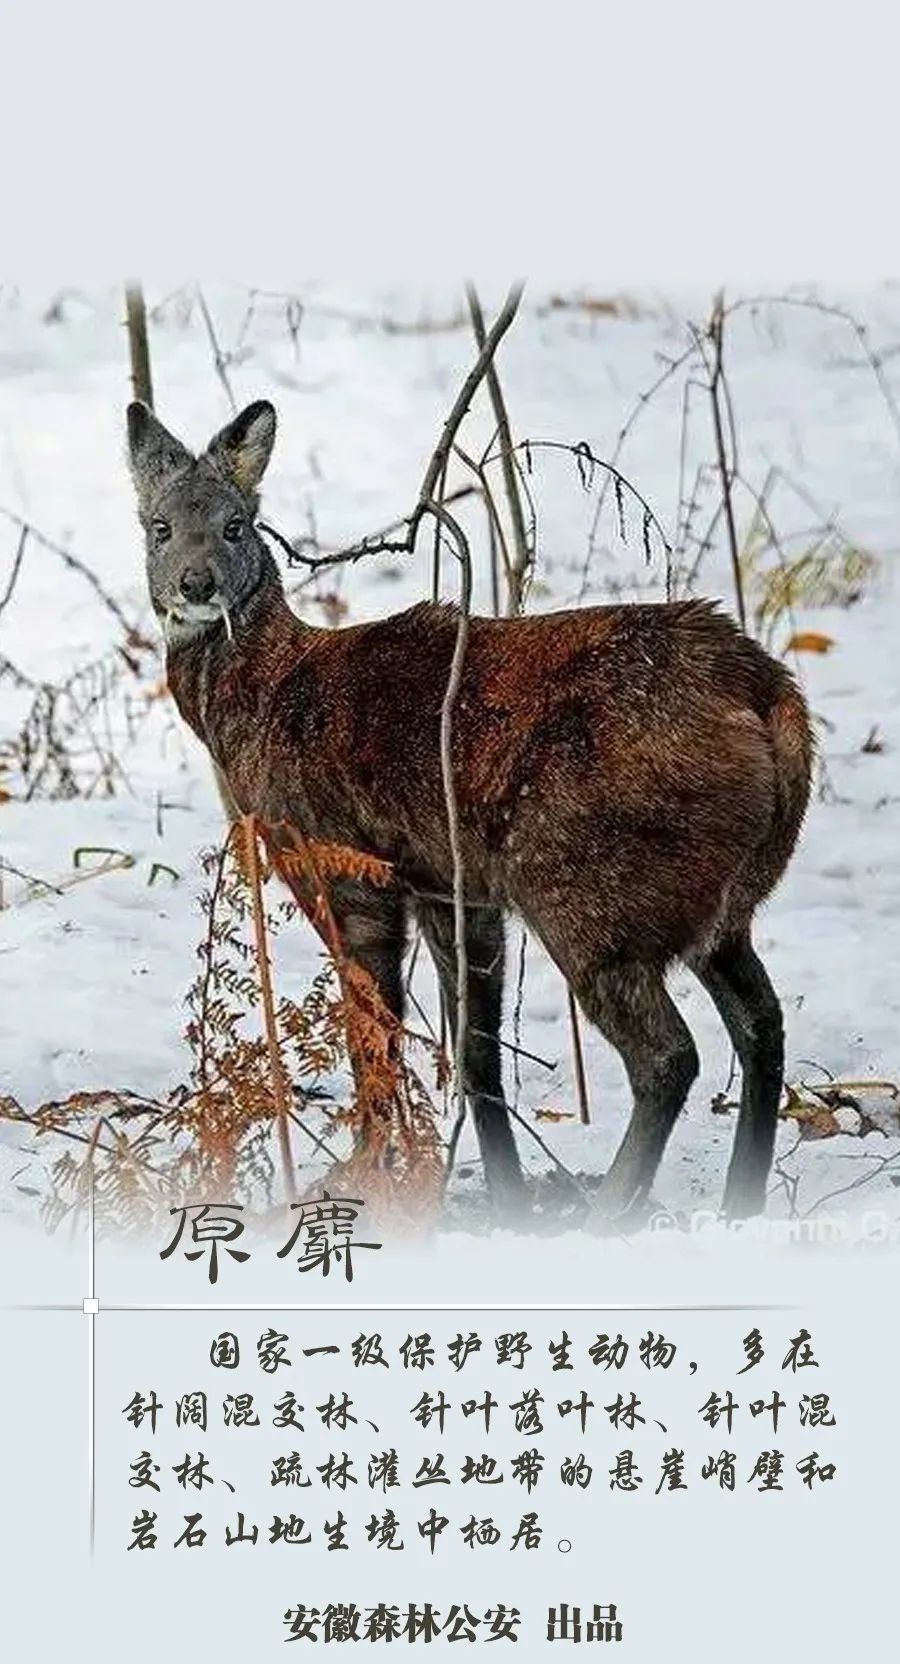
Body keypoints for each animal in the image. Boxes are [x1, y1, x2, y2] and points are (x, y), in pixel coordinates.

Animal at [128, 397, 815, 1231]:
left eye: (235, 525)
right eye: (159, 526)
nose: (196, 584)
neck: (262, 702)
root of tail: (768, 693)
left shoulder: (341, 861)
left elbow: (374, 1037)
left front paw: (364, 1177)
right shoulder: (449, 883)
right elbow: (477, 1052)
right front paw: (505, 1196)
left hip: (587, 886)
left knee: (668, 1054)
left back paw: (609, 1209)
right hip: (719, 899)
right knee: (761, 1021)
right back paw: (742, 1200)